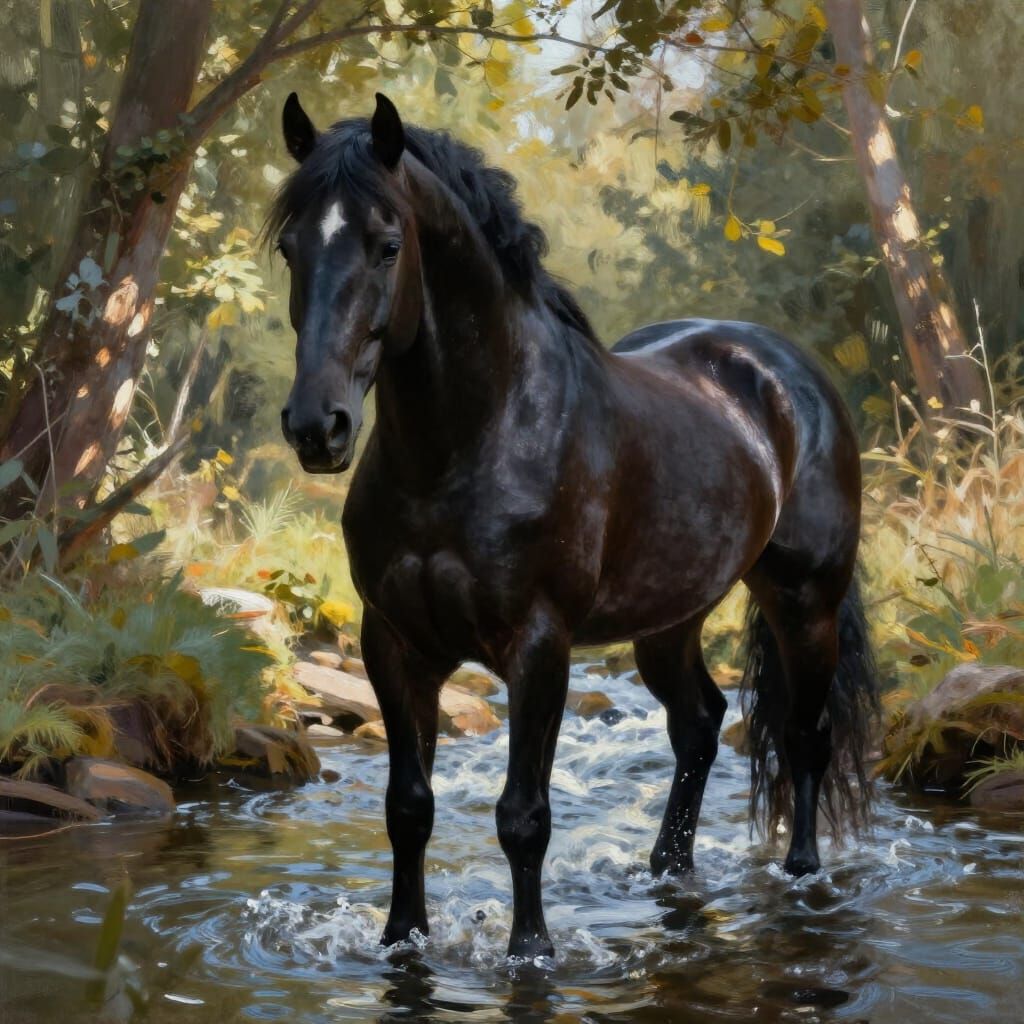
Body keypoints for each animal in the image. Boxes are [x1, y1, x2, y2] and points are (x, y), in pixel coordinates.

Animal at [269, 92, 878, 960]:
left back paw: (801, 873)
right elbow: (408, 807)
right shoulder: (394, 644)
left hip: (806, 605)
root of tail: (785, 371)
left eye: (387, 246)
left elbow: (523, 816)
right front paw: (401, 937)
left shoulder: (538, 647)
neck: (467, 445)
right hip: (670, 619)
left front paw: (530, 950)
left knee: (804, 736)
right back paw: (667, 869)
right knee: (698, 724)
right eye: (290, 248)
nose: (317, 426)